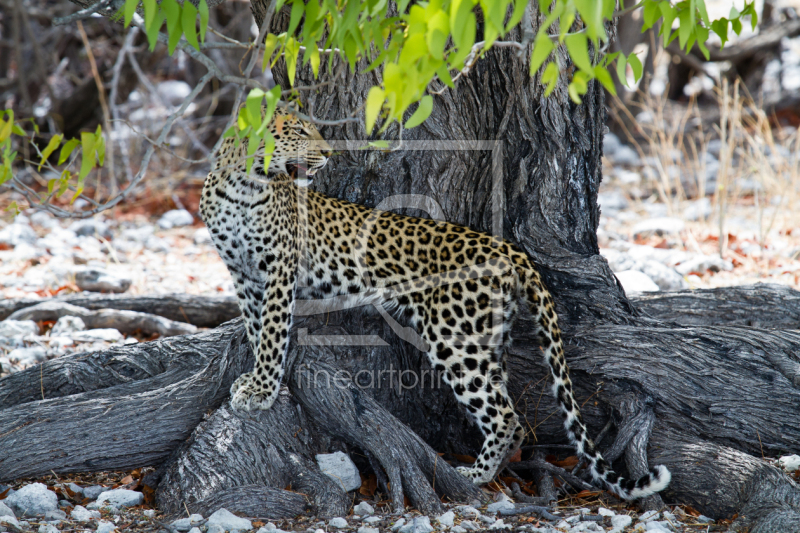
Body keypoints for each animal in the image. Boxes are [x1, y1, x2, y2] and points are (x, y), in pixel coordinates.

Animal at [198, 111, 668, 498]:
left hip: (454, 340)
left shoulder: (278, 269)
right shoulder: (243, 274)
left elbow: (273, 333)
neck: (242, 185)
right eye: (297, 131)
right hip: (486, 341)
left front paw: (261, 389)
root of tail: (511, 250)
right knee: (510, 411)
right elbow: (258, 327)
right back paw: (495, 469)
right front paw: (254, 380)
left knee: (504, 416)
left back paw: (472, 476)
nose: (328, 154)